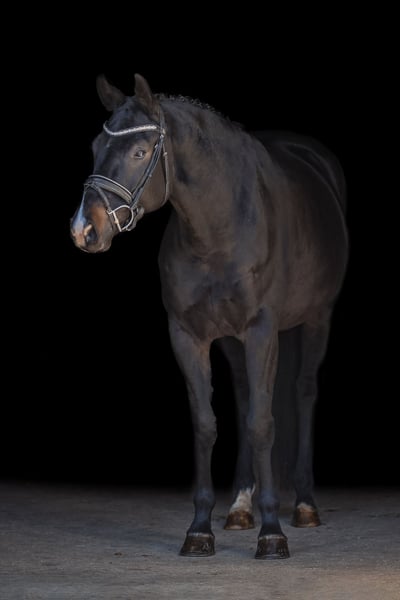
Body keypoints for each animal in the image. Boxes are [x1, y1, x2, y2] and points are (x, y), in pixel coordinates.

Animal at [70, 73, 349, 559]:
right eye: (95, 145)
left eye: (140, 152)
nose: (85, 229)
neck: (219, 228)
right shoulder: (189, 335)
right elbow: (206, 423)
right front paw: (200, 528)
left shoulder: (261, 331)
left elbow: (262, 423)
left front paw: (272, 534)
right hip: (234, 342)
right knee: (244, 396)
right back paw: (240, 506)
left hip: (316, 320)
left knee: (303, 392)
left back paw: (304, 505)